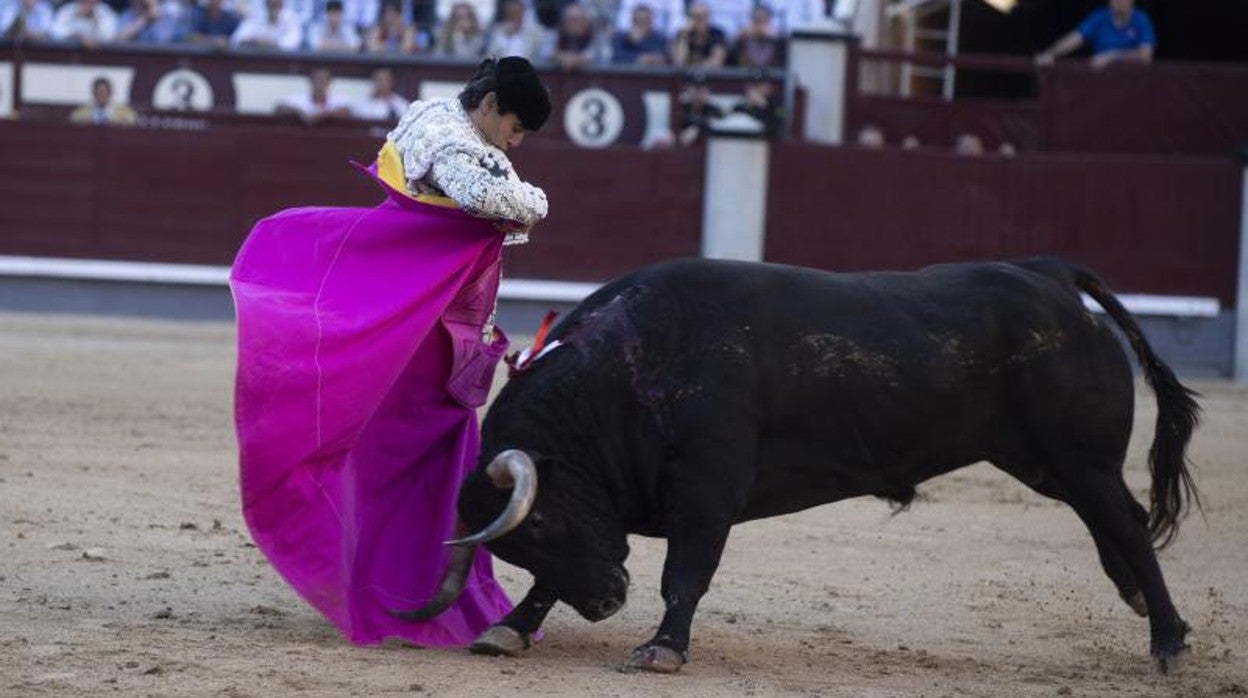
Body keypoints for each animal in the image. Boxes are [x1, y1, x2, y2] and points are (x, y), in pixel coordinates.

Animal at [394, 259, 1203, 674]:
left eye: (543, 526)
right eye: (514, 545)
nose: (605, 605)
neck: (626, 370)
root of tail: (1052, 279)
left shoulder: (707, 487)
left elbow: (685, 571)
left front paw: (661, 648)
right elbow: (553, 584)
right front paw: (508, 630)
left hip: (1077, 455)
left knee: (1126, 524)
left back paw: (1167, 641)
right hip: (1042, 460)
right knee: (1115, 523)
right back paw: (1144, 608)